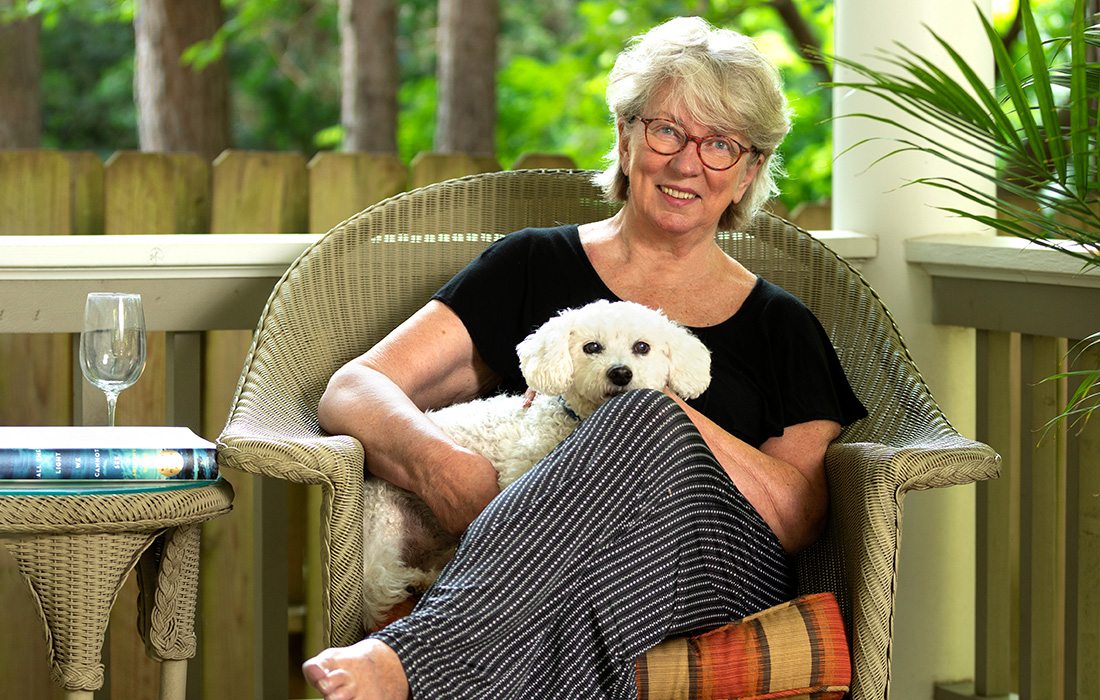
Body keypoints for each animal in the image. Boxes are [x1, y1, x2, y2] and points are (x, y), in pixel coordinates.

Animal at [360, 297, 712, 625]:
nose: (621, 372)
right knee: (377, 582)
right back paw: (412, 582)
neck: (575, 423)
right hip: (384, 523)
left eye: (642, 347)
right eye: (591, 347)